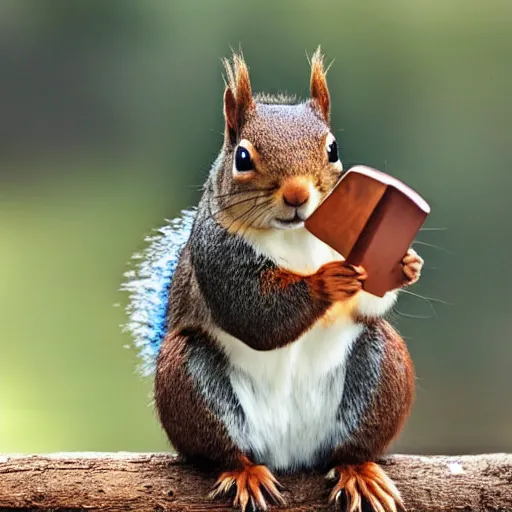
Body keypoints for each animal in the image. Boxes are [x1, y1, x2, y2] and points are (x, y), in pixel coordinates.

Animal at [123, 48, 424, 512]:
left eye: (333, 148)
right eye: (242, 158)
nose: (298, 195)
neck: (295, 236)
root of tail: (288, 451)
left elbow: (368, 301)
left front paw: (406, 264)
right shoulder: (217, 257)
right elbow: (258, 317)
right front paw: (326, 281)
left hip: (382, 367)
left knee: (349, 445)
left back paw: (358, 470)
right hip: (185, 378)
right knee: (224, 449)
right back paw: (244, 472)